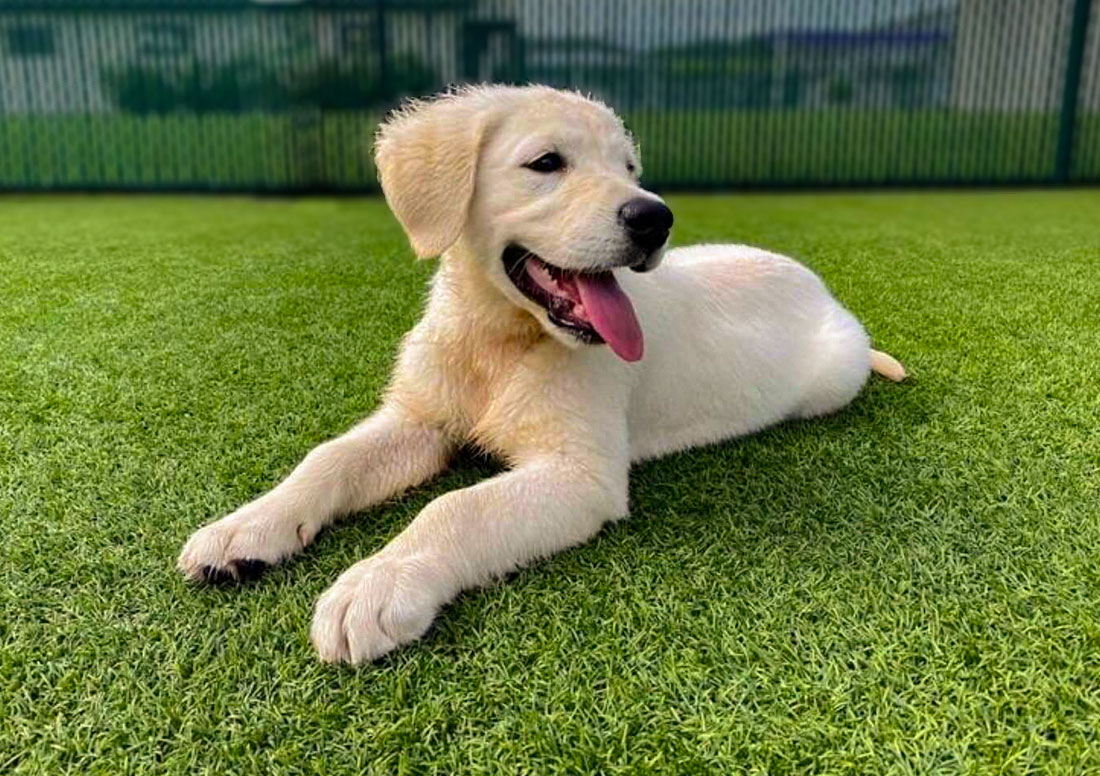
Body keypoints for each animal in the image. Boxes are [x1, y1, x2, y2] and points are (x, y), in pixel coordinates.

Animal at [178, 86, 902, 664]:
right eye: (547, 163)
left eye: (629, 168)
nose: (655, 216)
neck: (498, 343)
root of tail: (819, 286)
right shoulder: (421, 420)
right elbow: (328, 458)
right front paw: (245, 529)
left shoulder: (581, 474)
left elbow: (454, 508)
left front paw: (377, 583)